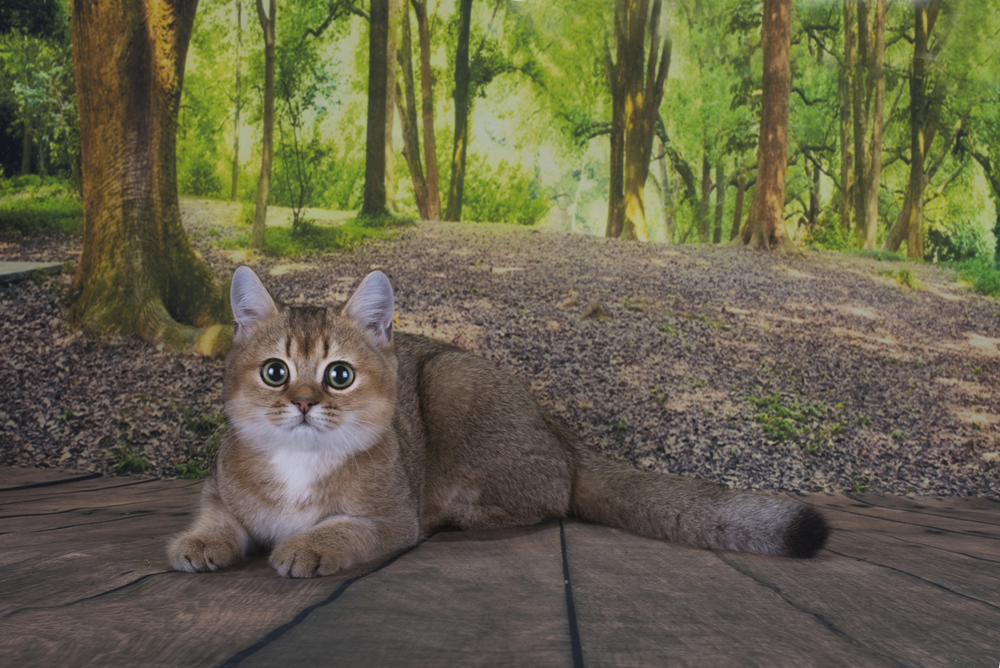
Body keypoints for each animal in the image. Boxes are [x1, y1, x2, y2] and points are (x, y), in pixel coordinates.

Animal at [170, 266, 828, 580]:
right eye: (275, 372)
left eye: (339, 375)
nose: (304, 403)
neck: (298, 466)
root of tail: (556, 423)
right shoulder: (217, 485)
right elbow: (215, 515)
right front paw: (200, 543)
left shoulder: (392, 518)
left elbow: (343, 530)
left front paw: (306, 546)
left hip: (450, 378)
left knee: (548, 496)